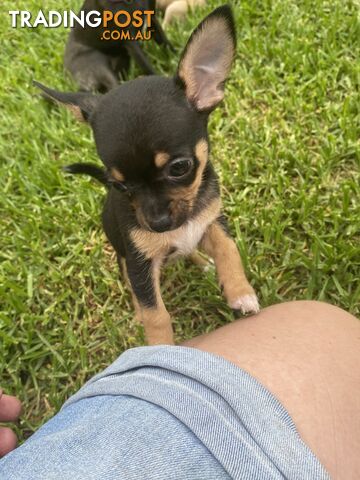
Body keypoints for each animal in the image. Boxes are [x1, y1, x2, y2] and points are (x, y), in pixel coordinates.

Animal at [35, 6, 258, 344]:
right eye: (118, 185)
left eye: (179, 168)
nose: (158, 224)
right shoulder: (140, 266)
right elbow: (155, 313)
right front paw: (161, 345)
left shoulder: (212, 221)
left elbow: (228, 249)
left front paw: (240, 291)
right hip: (124, 260)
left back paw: (202, 262)